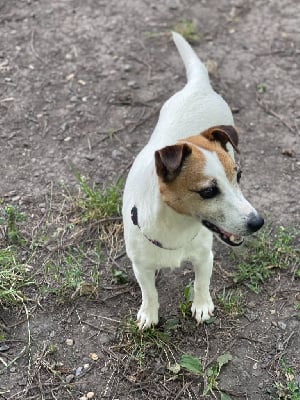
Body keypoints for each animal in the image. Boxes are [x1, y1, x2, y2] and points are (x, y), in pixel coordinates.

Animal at [121, 32, 262, 330]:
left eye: (238, 176)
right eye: (208, 191)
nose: (258, 223)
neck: (177, 226)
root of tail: (198, 85)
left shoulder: (204, 256)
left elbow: (201, 283)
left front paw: (202, 306)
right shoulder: (141, 265)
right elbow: (149, 291)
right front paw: (149, 314)